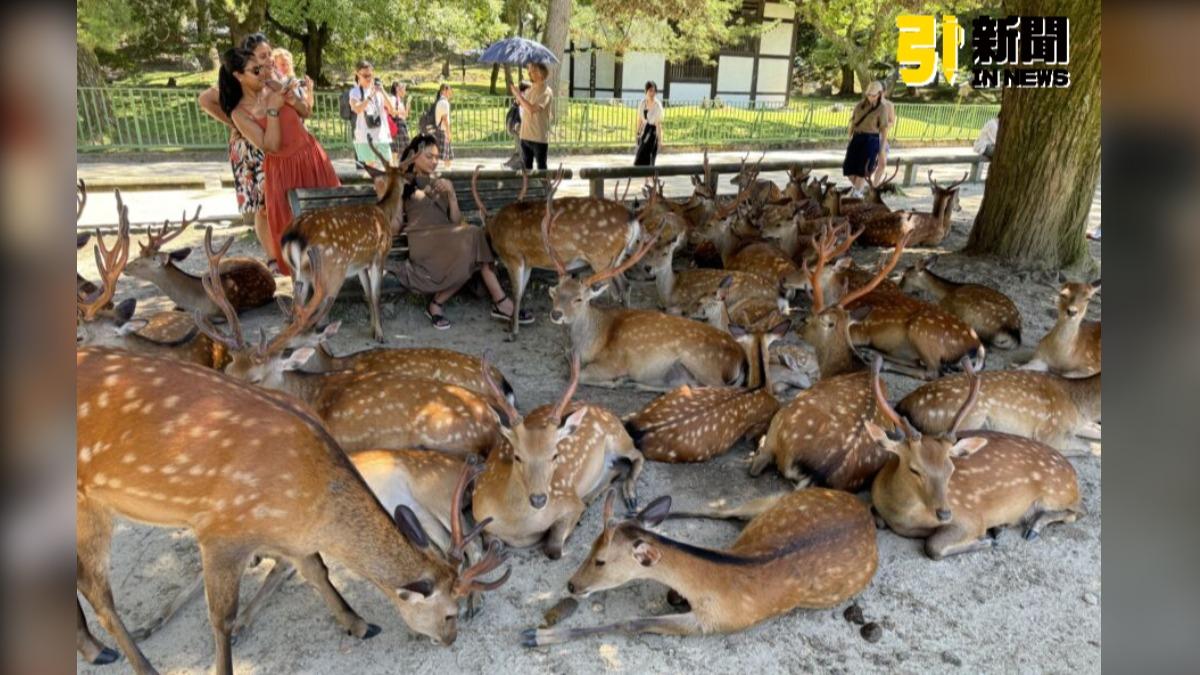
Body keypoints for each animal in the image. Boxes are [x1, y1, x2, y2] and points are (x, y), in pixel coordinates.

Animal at [77, 347, 510, 673]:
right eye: (447, 614)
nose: (450, 640)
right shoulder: (225, 529)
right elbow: (223, 613)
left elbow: (310, 570)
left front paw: (358, 624)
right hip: (89, 502)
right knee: (96, 590)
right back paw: (134, 660)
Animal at [281, 139, 396, 341]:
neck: (384, 212)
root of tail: (294, 236)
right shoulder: (379, 256)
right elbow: (376, 294)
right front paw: (380, 334)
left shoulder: (360, 264)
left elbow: (367, 293)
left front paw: (372, 329)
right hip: (330, 272)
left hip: (298, 273)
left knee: (297, 310)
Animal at [476, 165, 642, 338]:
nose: (487, 259)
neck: (495, 229)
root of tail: (632, 219)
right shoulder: (528, 261)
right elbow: (520, 292)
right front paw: (512, 325)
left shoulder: (513, 256)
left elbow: (515, 293)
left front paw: (513, 332)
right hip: (615, 259)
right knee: (626, 285)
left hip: (602, 257)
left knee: (619, 288)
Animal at [520, 486, 877, 646]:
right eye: (590, 548)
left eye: (600, 560)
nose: (572, 585)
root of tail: (866, 512)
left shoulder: (712, 624)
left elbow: (632, 623)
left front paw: (537, 635)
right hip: (777, 499)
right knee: (726, 510)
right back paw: (644, 509)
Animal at [545, 213, 747, 391]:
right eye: (555, 294)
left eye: (578, 298)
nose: (556, 313)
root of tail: (739, 359)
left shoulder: (614, 361)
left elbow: (579, 375)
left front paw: (617, 381)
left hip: (705, 366)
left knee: (717, 388)